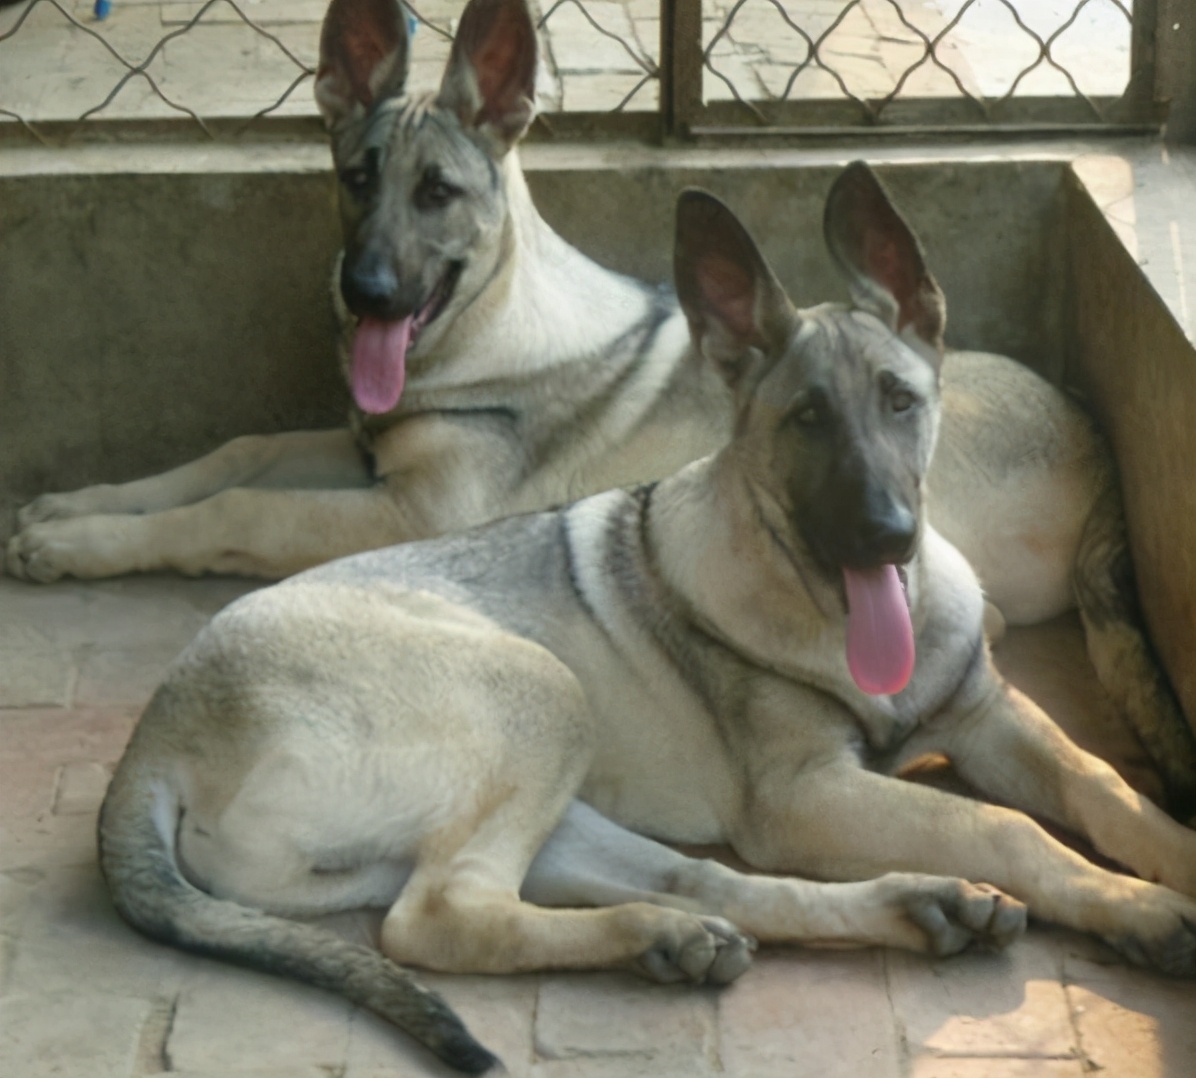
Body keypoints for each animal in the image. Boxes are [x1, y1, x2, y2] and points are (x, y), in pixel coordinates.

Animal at [7, 0, 1186, 808]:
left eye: (437, 194)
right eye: (354, 178)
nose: (363, 293)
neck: (475, 334)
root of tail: (1097, 444)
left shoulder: (407, 507)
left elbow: (236, 508)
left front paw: (76, 543)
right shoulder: (363, 451)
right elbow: (233, 451)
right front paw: (74, 509)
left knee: (970, 619)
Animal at [100, 166, 1196, 1067]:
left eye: (899, 400)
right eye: (804, 419)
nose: (885, 536)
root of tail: (152, 739)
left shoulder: (985, 715)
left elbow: (1101, 785)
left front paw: (1166, 856)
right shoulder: (802, 793)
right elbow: (1003, 826)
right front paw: (1140, 902)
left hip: (552, 797)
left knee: (699, 884)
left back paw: (860, 912)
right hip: (539, 695)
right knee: (441, 918)